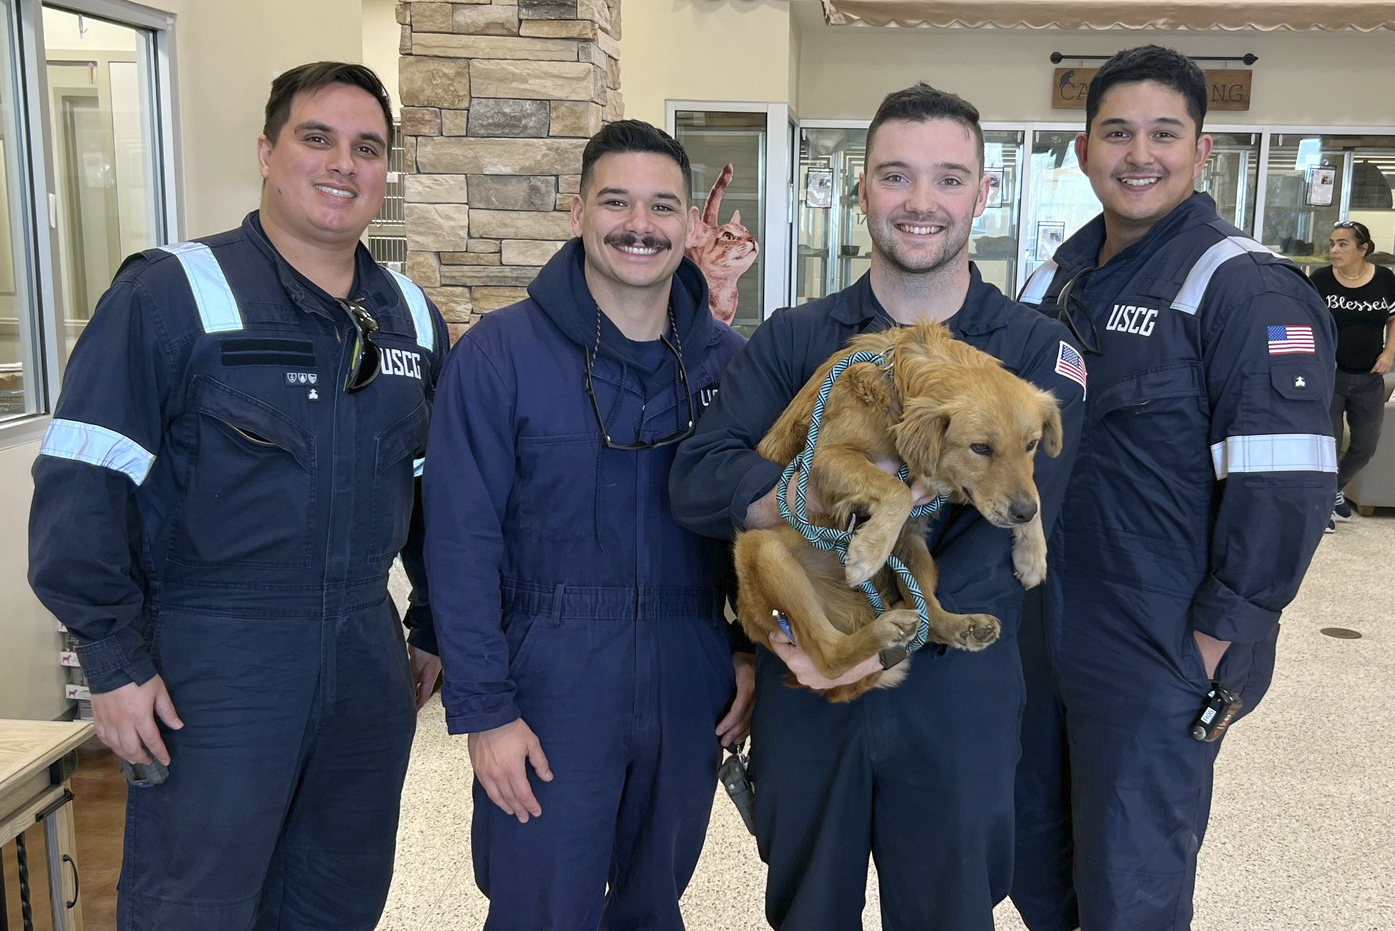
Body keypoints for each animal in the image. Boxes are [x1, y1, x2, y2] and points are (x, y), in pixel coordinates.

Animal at [736, 323, 1060, 703]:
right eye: (980, 448)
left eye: (1031, 444)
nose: (1022, 514)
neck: (898, 386)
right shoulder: (820, 458)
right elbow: (898, 489)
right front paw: (867, 553)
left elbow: (1034, 489)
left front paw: (1032, 555)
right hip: (762, 548)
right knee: (829, 655)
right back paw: (884, 629)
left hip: (912, 547)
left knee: (929, 616)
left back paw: (962, 626)